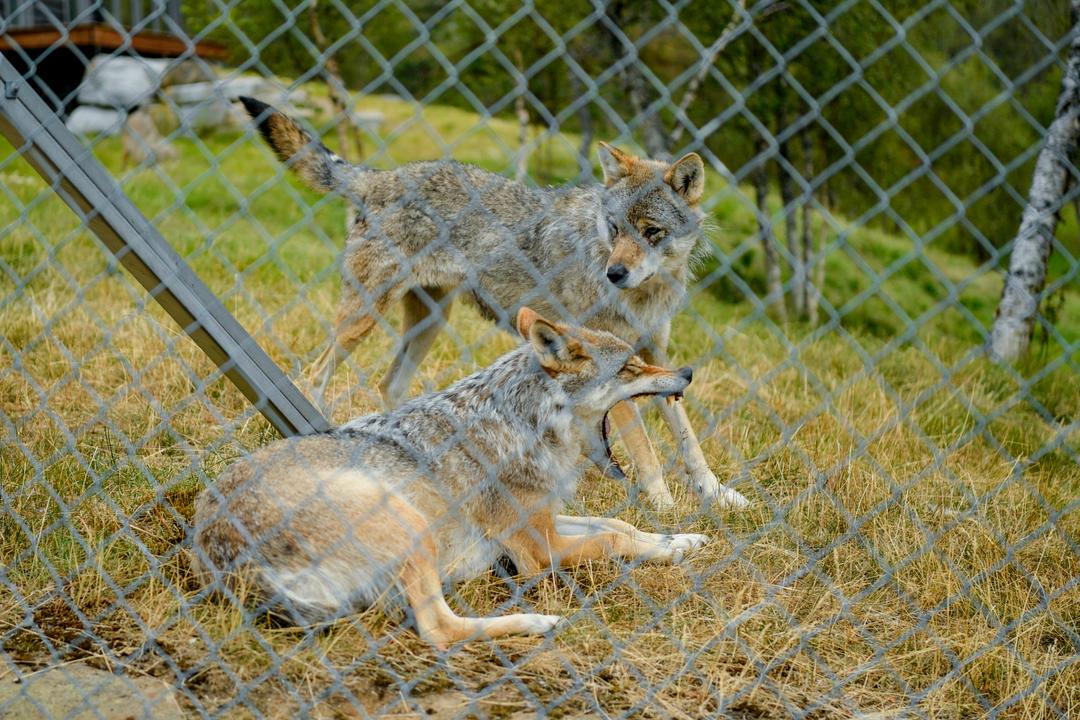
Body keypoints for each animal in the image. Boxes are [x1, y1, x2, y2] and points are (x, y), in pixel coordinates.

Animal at [192, 310, 708, 647]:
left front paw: (680, 541)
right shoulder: (537, 551)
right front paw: (669, 548)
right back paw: (536, 622)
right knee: (439, 632)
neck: (524, 424)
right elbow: (610, 541)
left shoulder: (545, 520)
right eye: (631, 366)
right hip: (408, 523)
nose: (687, 371)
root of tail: (223, 563)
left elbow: (622, 526)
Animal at [243, 98, 751, 509]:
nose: (615, 273)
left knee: (391, 386)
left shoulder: (655, 356)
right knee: (314, 373)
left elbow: (688, 441)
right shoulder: (614, 371)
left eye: (651, 232)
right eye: (614, 229)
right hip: (364, 318)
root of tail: (382, 176)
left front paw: (719, 495)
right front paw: (666, 508)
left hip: (429, 322)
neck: (645, 295)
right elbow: (647, 453)